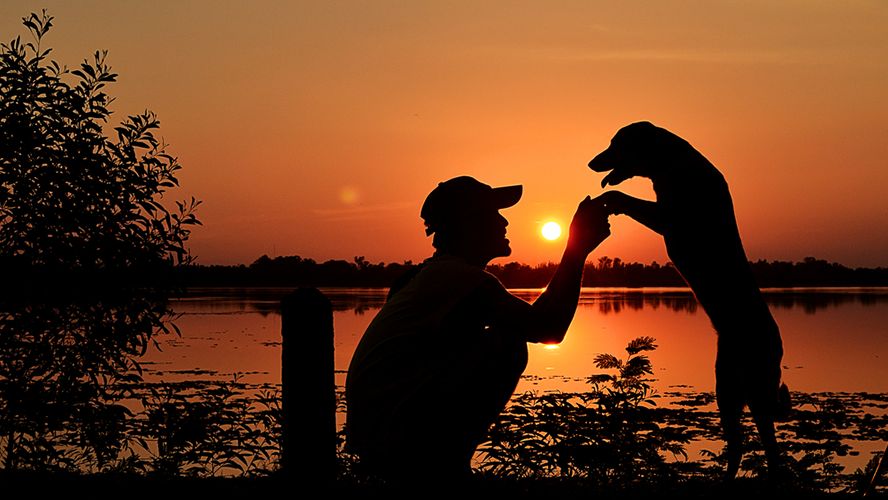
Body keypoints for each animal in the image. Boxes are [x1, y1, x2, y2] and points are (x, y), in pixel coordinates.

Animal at [588, 122, 792, 480]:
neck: (670, 160)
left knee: (771, 448)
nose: (590, 163)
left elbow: (618, 195)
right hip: (727, 388)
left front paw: (603, 202)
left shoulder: (667, 214)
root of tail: (775, 341)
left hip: (756, 384)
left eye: (617, 143)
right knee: (738, 445)